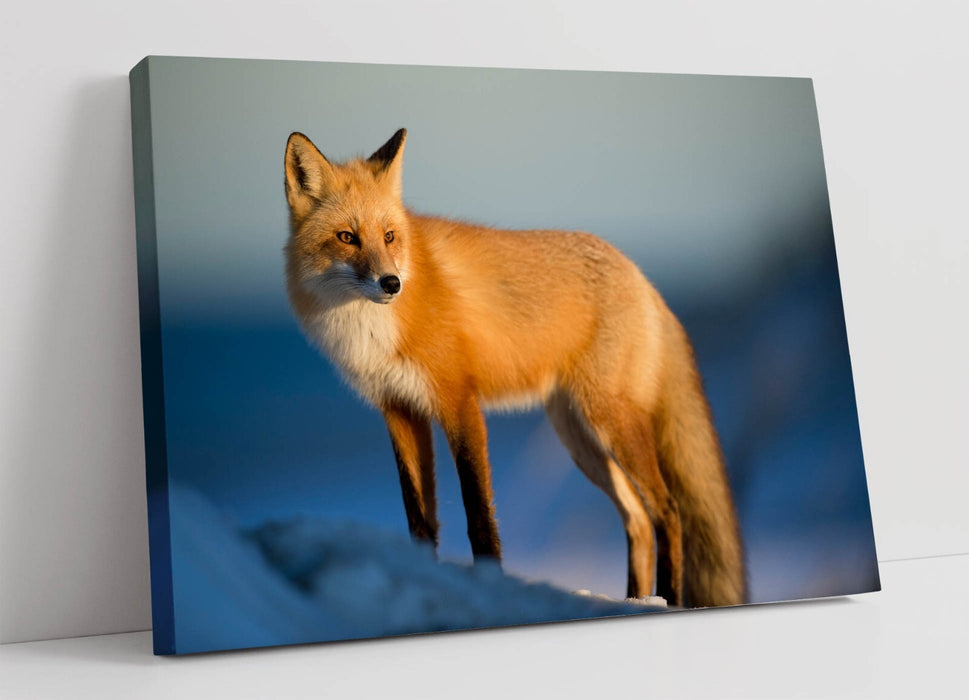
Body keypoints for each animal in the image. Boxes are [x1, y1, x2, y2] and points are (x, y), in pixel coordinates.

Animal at [283, 128, 746, 607]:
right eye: (347, 237)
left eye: (390, 236)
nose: (391, 283)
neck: (373, 329)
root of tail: (642, 278)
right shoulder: (399, 410)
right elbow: (419, 520)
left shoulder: (459, 402)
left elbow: (479, 516)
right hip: (580, 439)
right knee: (637, 520)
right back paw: (635, 600)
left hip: (609, 422)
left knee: (668, 512)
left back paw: (668, 600)